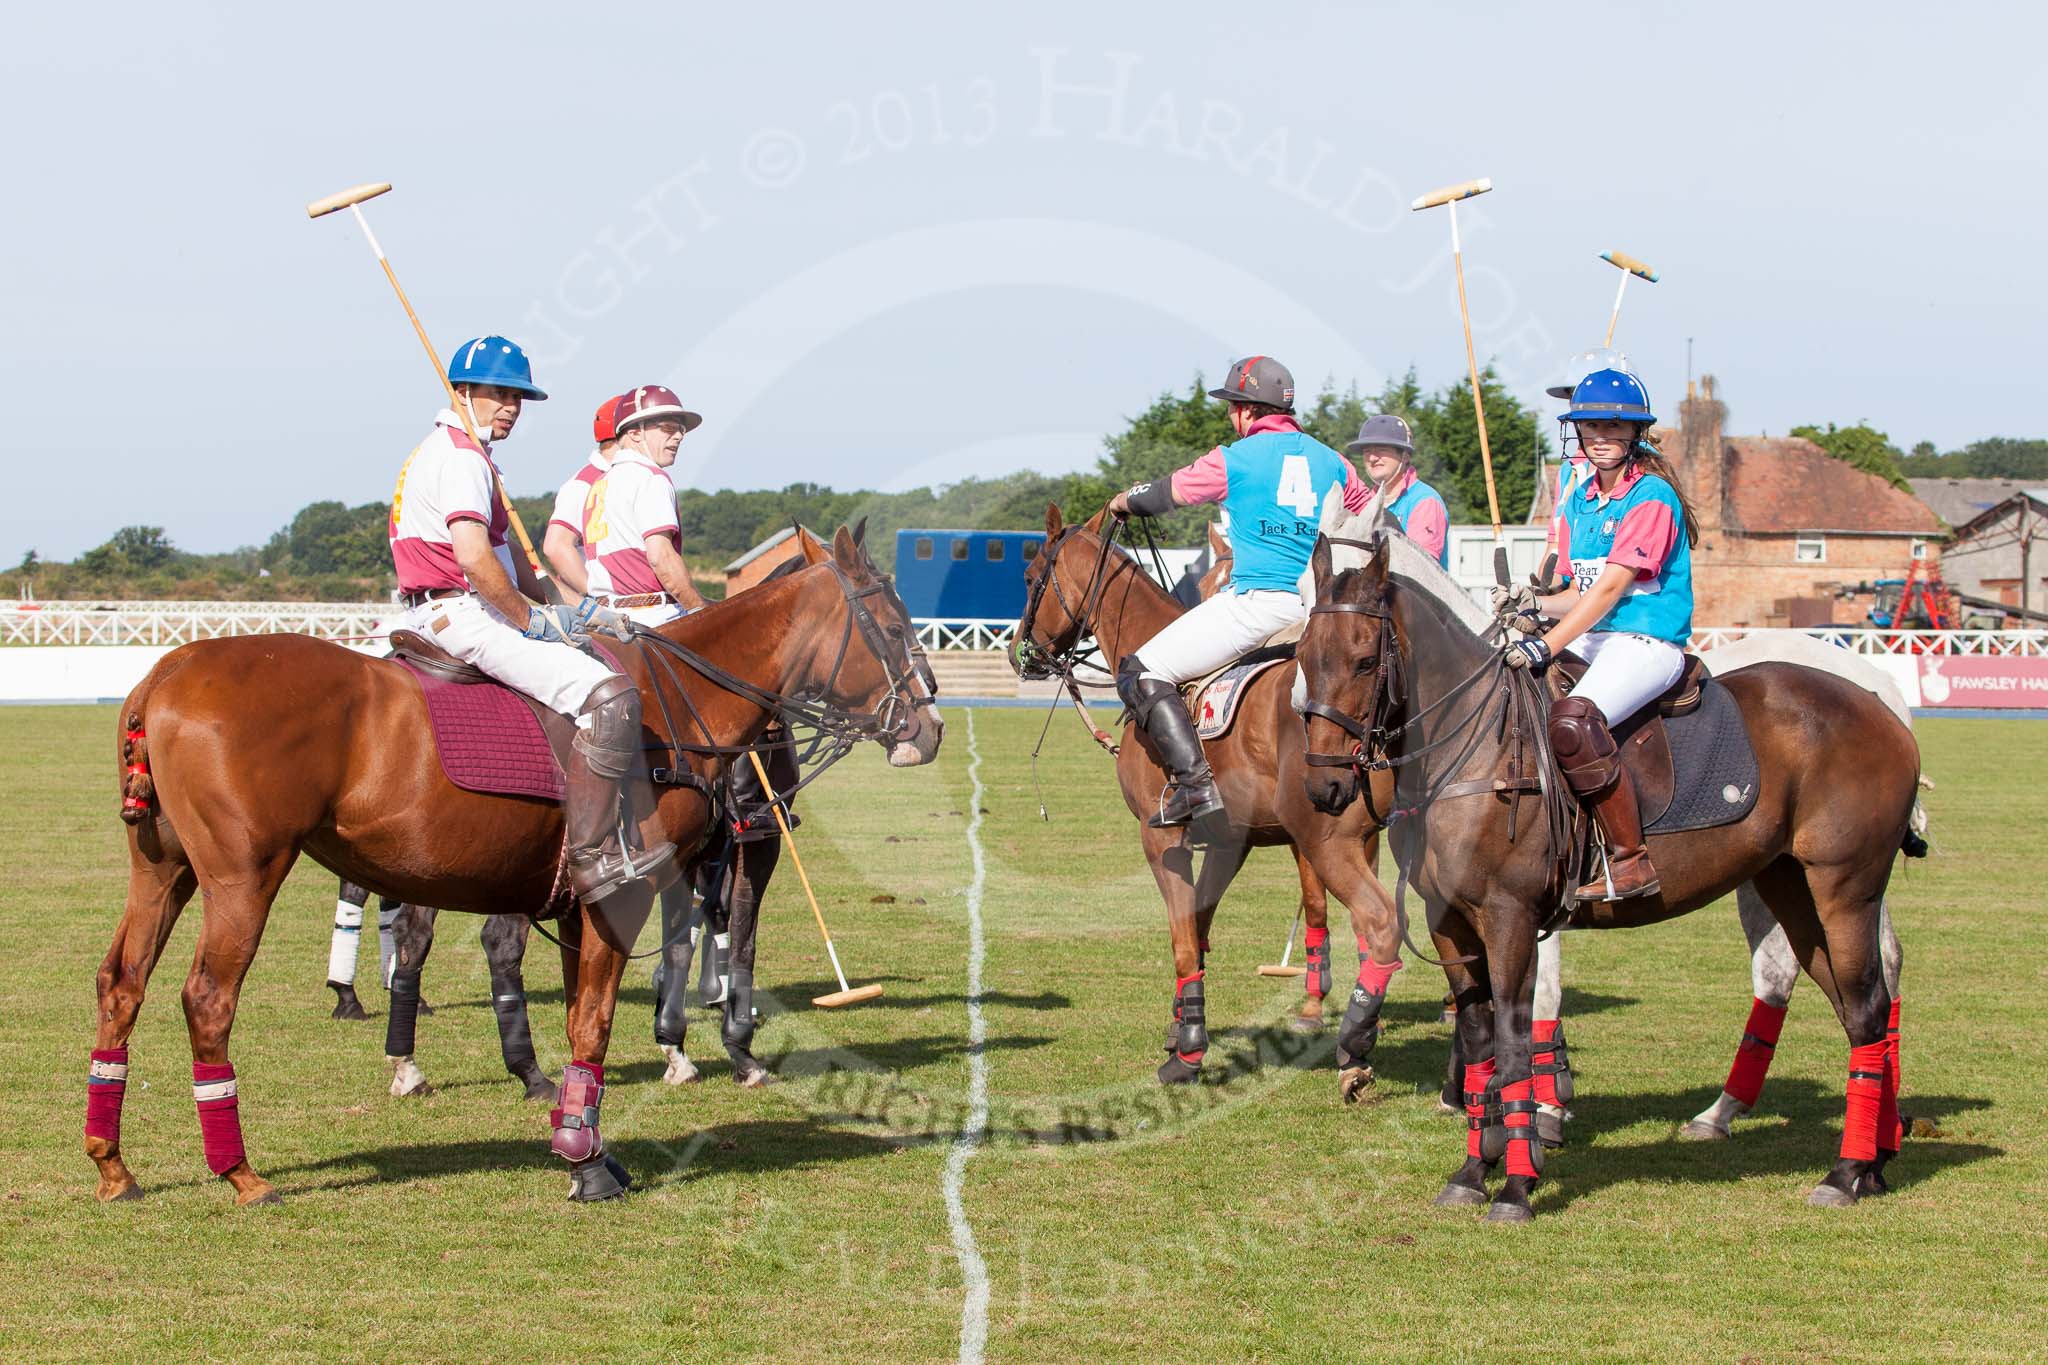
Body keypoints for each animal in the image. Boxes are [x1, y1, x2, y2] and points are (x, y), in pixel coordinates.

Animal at [86, 523, 937, 1203]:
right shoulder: (624, 890)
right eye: (895, 625)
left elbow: (580, 1018)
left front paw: (588, 1145)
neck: (679, 703)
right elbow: (598, 1019)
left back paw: (113, 1164)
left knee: (121, 980)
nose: (927, 730)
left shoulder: (578, 898)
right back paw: (240, 1172)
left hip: (163, 866)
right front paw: (588, 1165)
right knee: (207, 997)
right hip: (245, 870)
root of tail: (157, 677)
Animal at [1011, 507, 1400, 1096]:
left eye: (1032, 577)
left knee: (1380, 920)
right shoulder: (1228, 841)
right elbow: (1200, 928)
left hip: (1328, 838)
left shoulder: (1162, 838)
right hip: (1365, 837)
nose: (1020, 653)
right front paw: (1180, 1026)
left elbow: (1182, 939)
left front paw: (1187, 1052)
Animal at [1294, 527, 1916, 1219]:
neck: (1469, 748)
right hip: (1788, 883)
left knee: (1867, 1001)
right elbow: (1481, 1043)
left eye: (1364, 662)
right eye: (1304, 655)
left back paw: (1844, 1170)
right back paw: (1872, 1160)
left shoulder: (1512, 918)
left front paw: (1517, 1184)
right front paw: (1471, 1173)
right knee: (1848, 996)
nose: (1323, 787)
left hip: (1845, 884)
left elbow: (1516, 1043)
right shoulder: (1449, 921)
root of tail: (1883, 703)